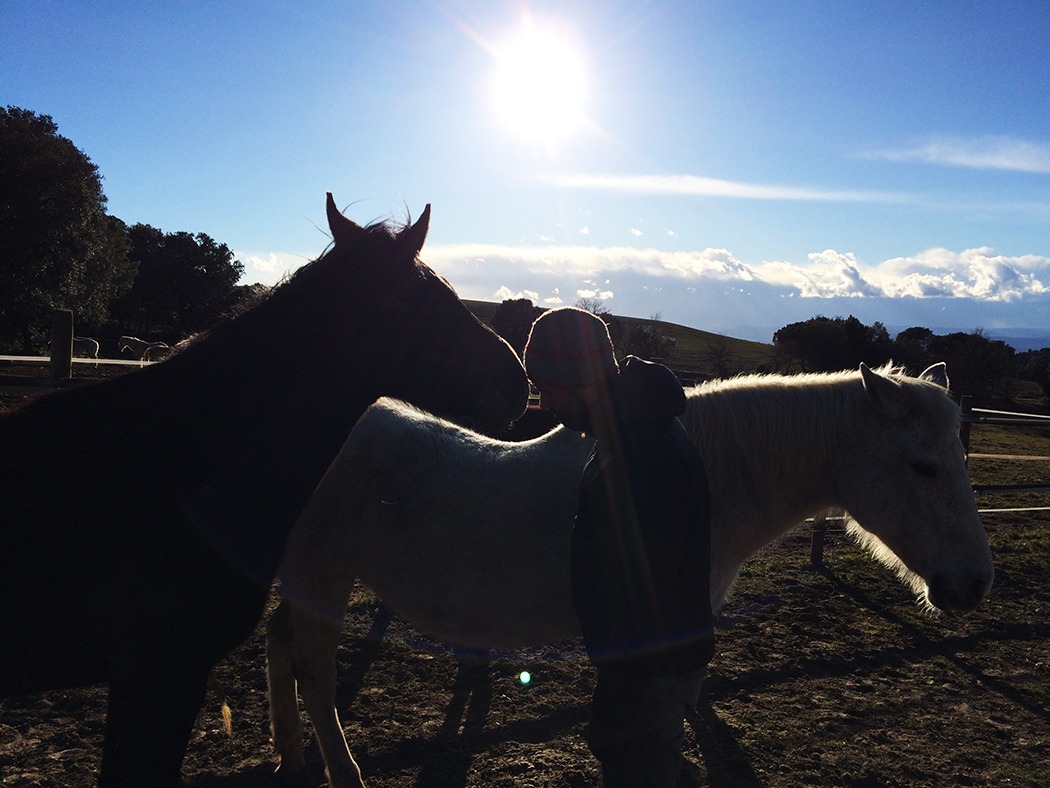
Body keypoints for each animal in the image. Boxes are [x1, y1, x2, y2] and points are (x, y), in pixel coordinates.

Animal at [268, 363, 991, 788]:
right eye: (924, 465)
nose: (975, 584)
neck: (704, 473)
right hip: (321, 576)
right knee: (316, 675)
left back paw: (289, 756)